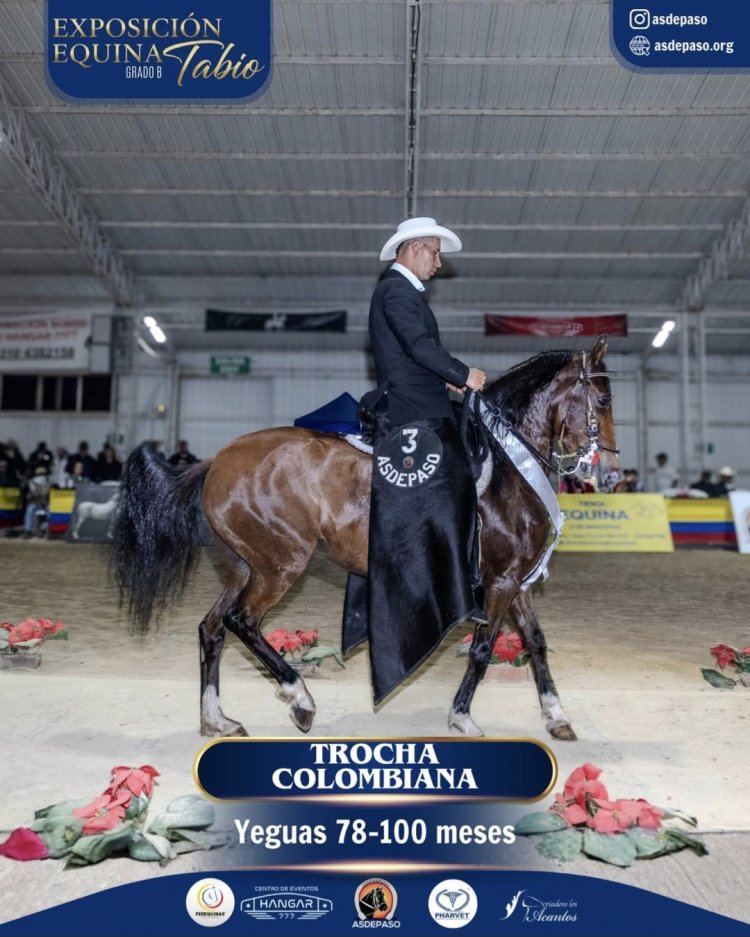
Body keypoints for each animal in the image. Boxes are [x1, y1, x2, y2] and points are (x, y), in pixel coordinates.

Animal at [112, 336, 619, 741]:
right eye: (603, 400)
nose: (611, 476)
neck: (509, 463)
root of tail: (216, 460)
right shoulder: (500, 582)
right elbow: (481, 649)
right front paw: (462, 718)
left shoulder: (515, 580)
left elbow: (535, 641)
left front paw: (557, 717)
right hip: (280, 566)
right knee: (242, 622)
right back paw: (300, 700)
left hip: (244, 567)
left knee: (212, 629)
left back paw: (217, 720)